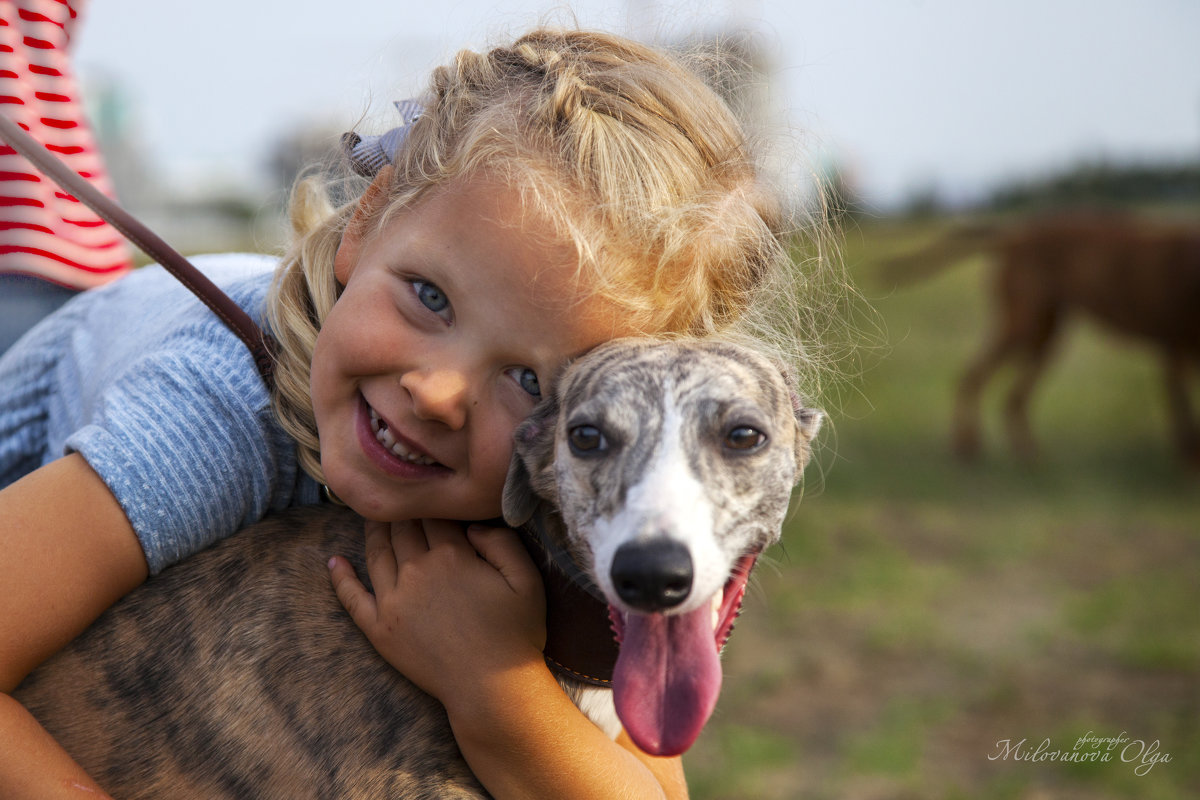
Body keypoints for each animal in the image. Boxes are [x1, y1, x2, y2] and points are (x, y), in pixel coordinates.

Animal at [883, 212, 1200, 470]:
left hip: (1043, 336)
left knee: (1012, 398)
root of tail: (1013, 236)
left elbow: (1185, 427)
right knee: (974, 378)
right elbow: (1186, 429)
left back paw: (1027, 456)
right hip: (1023, 328)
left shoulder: (1175, 356)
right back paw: (969, 446)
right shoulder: (1173, 353)